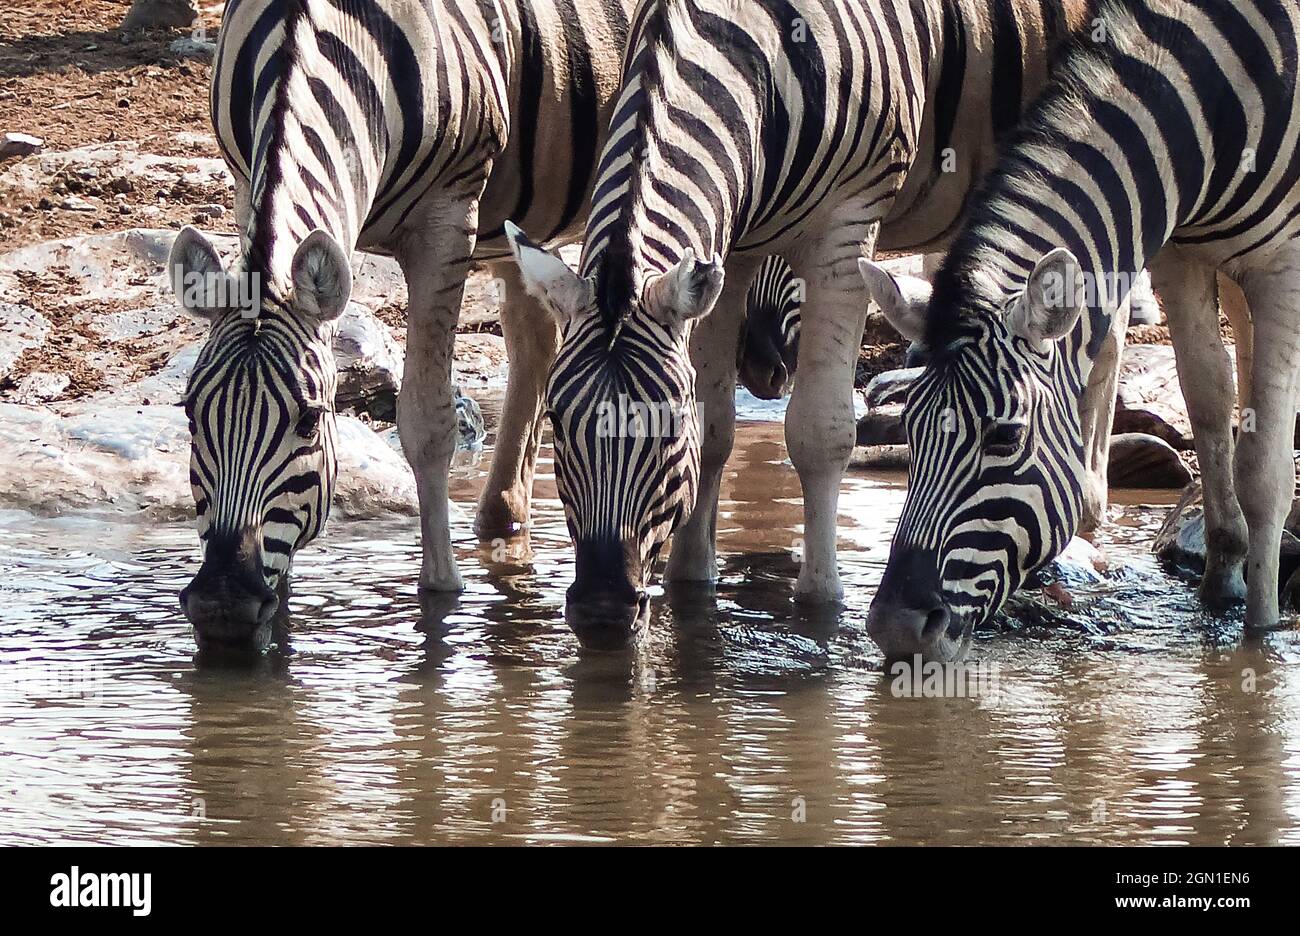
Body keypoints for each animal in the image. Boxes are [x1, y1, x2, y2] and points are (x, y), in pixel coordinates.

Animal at [168, 0, 634, 650]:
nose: (221, 605)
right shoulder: (243, 184)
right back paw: (503, 514)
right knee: (537, 332)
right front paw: (282, 608)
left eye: (310, 420)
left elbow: (427, 421)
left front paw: (442, 596)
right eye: (190, 414)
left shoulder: (449, 218)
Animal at [504, 0, 1135, 635]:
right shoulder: (730, 246)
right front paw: (693, 586)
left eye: (669, 430)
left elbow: (821, 431)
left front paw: (821, 601)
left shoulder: (849, 226)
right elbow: (717, 428)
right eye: (556, 422)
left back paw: (1089, 515)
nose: (602, 610)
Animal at [859, 0, 1300, 660]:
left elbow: (1263, 467)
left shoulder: (1285, 262)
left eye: (1005, 438)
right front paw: (1222, 583)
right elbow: (1208, 403)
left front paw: (1261, 634)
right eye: (909, 430)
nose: (895, 628)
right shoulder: (1182, 252)